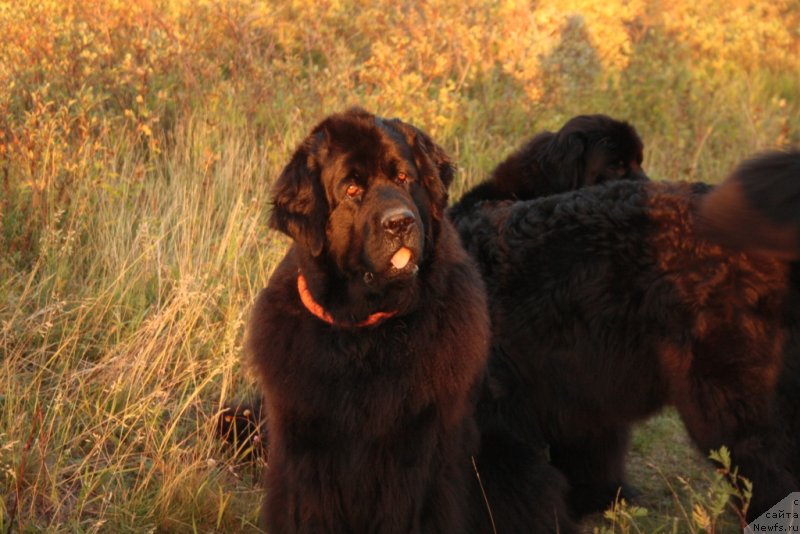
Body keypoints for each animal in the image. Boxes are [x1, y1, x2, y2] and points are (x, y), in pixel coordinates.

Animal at [244, 110, 576, 534]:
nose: (399, 222)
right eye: (352, 189)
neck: (364, 331)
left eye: (403, 178)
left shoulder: (415, 452)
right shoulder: (307, 449)